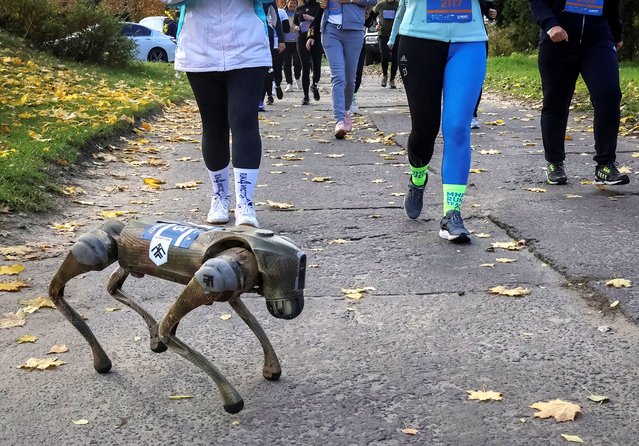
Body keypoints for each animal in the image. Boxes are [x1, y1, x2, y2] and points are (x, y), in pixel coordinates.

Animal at [48, 220, 308, 414]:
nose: (288, 308)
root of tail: (122, 227)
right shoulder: (212, 276)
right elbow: (167, 328)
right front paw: (232, 400)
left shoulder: (229, 288)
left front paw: (271, 369)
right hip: (98, 251)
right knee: (58, 288)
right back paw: (103, 361)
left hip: (128, 263)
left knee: (111, 288)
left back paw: (149, 340)